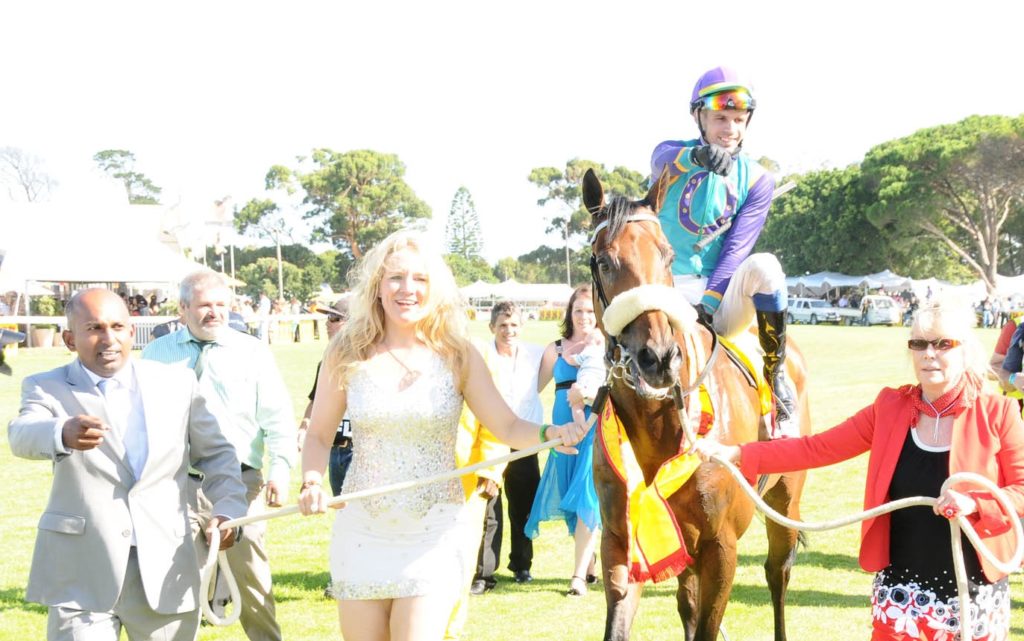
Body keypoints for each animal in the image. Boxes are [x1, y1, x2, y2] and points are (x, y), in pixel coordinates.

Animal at [585, 168, 806, 638]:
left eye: (667, 256)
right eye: (605, 261)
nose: (658, 357)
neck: (658, 421)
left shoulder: (721, 546)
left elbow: (708, 624)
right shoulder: (622, 538)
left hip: (784, 502)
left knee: (777, 575)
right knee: (687, 600)